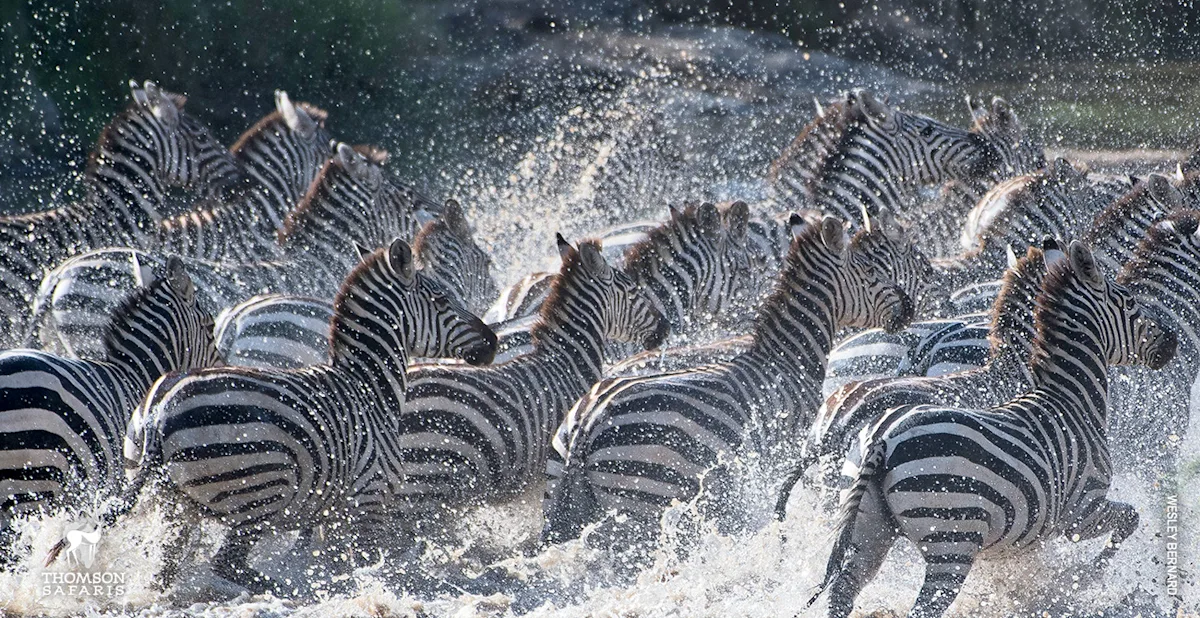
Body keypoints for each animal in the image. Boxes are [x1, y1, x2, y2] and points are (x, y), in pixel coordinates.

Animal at [106, 238, 498, 592]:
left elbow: (335, 562)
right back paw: (289, 589)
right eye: (443, 300)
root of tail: (160, 411)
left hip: (170, 507)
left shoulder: (334, 512)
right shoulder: (369, 498)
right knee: (229, 564)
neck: (369, 386)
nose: (492, 342)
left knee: (166, 572)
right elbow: (371, 567)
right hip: (260, 492)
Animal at [541, 215, 916, 545]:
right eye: (870, 272)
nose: (909, 307)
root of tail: (588, 421)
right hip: (645, 499)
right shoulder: (787, 453)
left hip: (560, 489)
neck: (787, 359)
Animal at [806, 240, 1176, 618]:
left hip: (867, 527)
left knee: (843, 590)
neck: (1071, 398)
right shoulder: (1081, 509)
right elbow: (1130, 520)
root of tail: (882, 437)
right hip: (951, 541)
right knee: (924, 606)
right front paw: (1086, 576)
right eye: (1129, 301)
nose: (1171, 342)